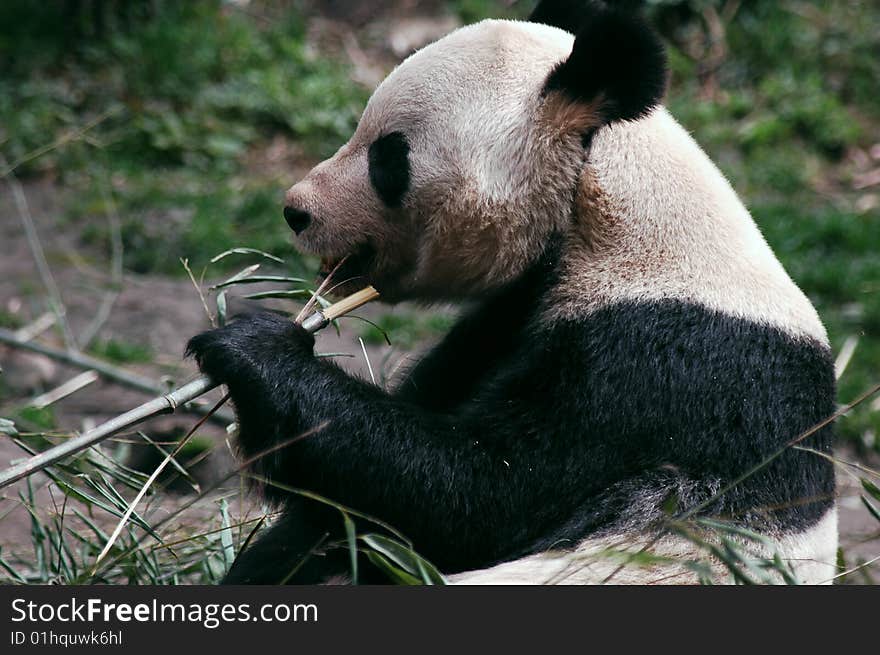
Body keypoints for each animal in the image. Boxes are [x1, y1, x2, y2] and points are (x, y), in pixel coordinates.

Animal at [187, 0, 840, 584]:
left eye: (388, 156)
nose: (298, 210)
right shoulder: (509, 317)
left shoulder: (663, 363)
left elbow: (479, 496)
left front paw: (254, 349)